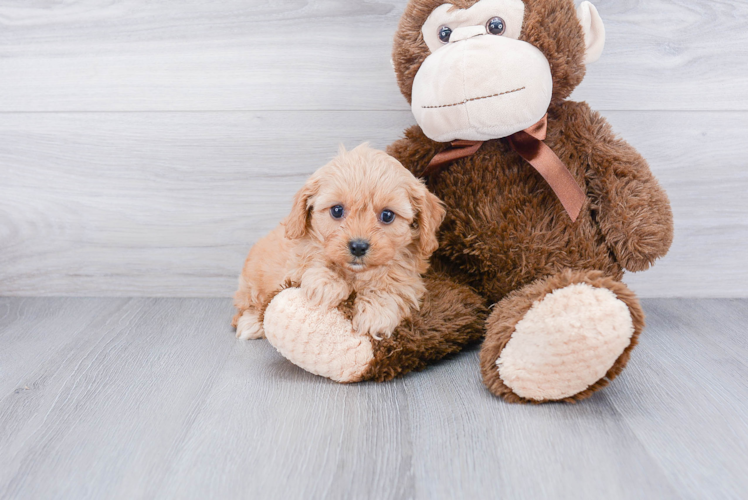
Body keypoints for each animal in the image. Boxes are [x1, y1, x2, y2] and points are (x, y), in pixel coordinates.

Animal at [234, 143, 444, 342]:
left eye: (387, 215)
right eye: (336, 210)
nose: (358, 247)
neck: (355, 274)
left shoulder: (409, 275)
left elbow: (394, 283)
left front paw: (376, 312)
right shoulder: (296, 261)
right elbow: (315, 258)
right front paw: (326, 284)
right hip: (251, 283)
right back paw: (251, 323)